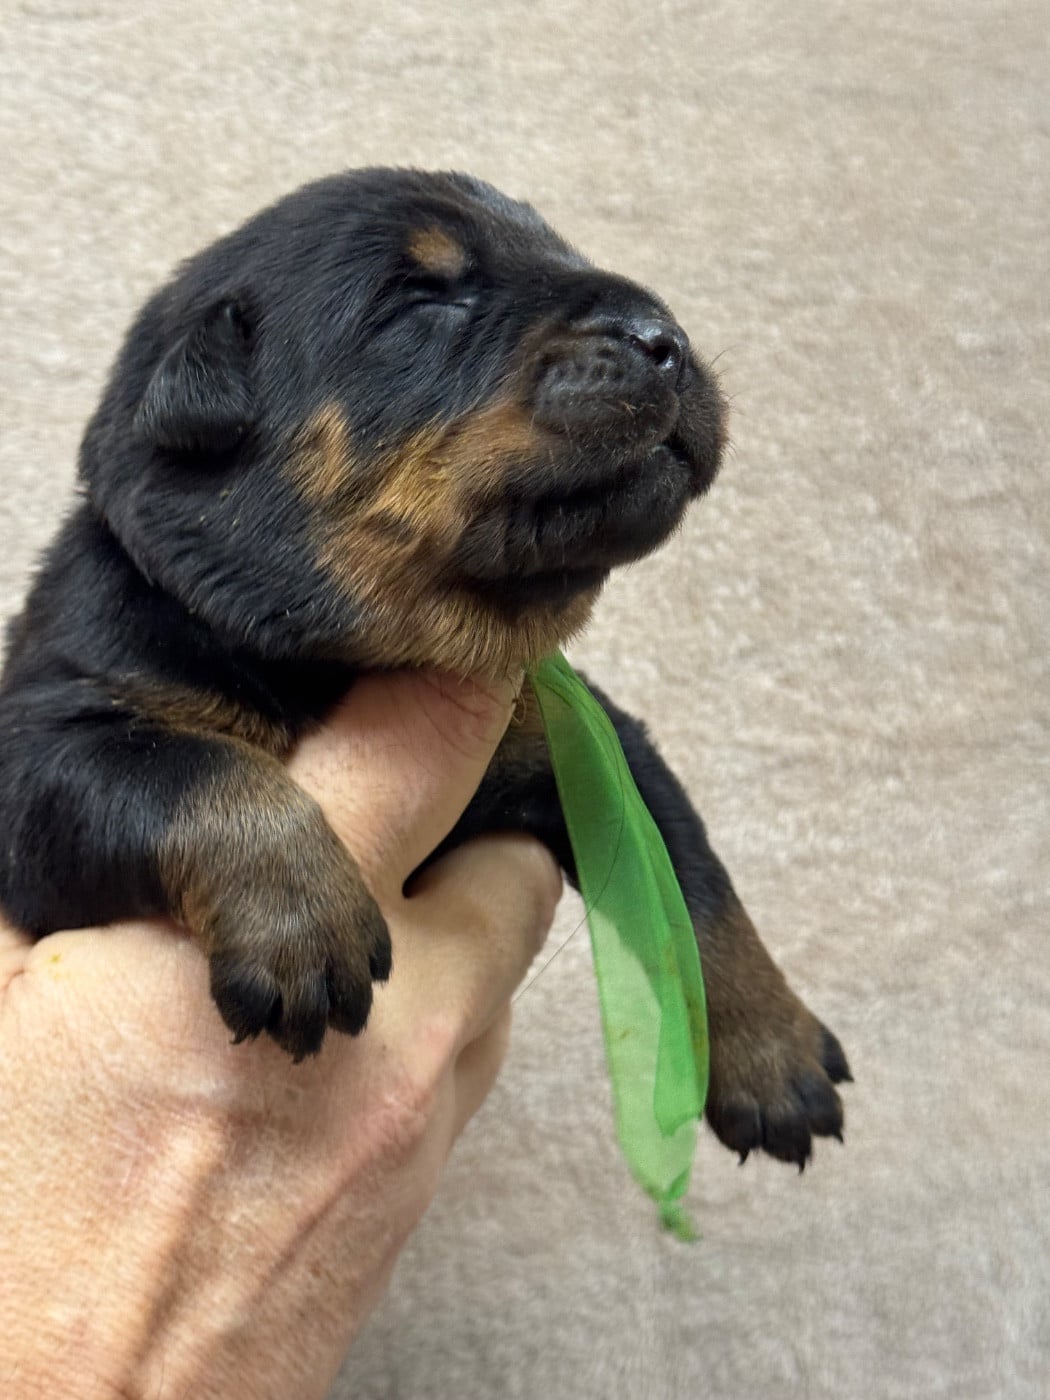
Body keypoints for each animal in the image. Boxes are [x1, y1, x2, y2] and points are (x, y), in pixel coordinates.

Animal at [0, 169, 849, 1168]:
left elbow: (687, 874)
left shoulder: (584, 733)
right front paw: (302, 918)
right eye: (422, 299)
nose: (663, 337)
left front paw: (772, 1052)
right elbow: (185, 766)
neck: (343, 653)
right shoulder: (46, 739)